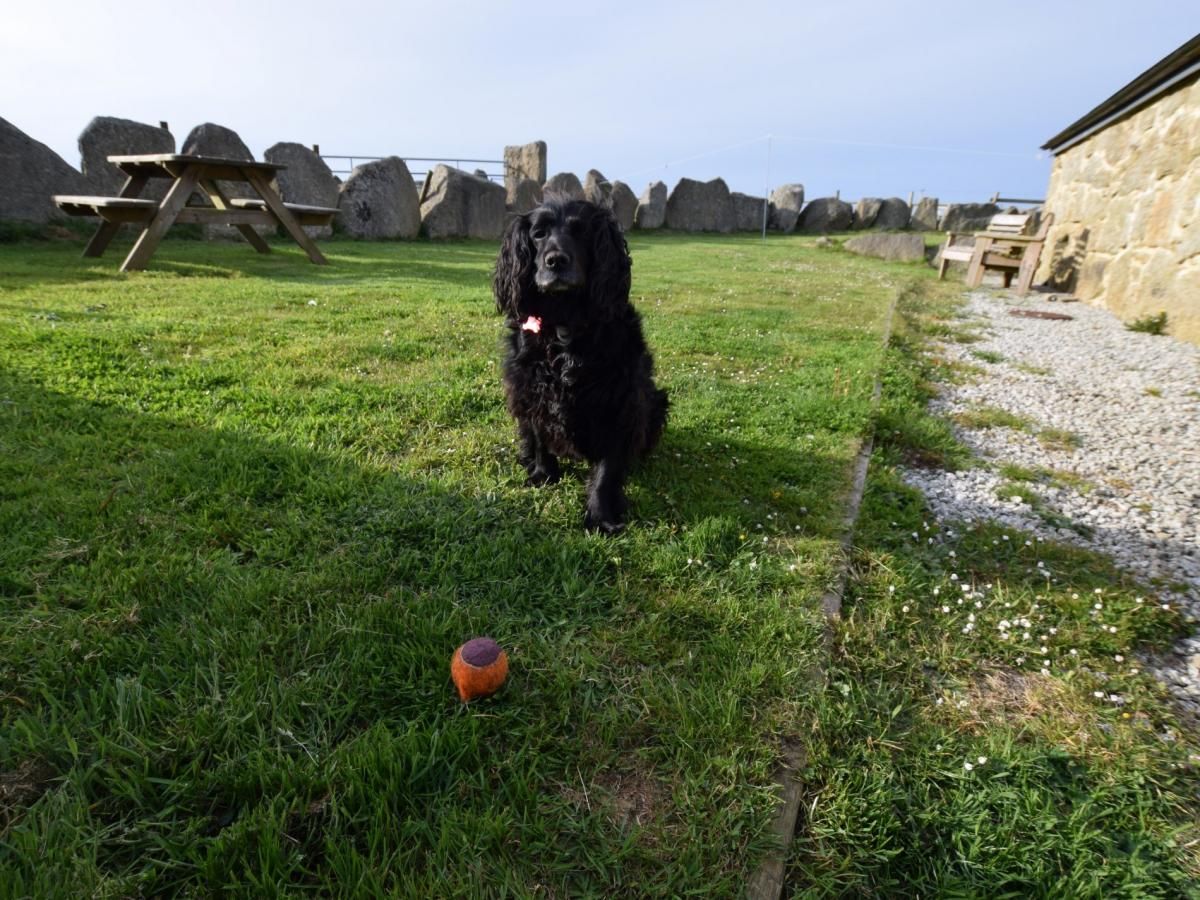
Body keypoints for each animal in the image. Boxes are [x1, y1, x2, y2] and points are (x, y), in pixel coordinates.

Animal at [493, 196, 668, 533]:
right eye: (538, 234)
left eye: (581, 232)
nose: (556, 261)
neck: (565, 324)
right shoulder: (530, 389)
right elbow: (540, 437)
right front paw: (543, 475)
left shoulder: (620, 402)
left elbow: (607, 469)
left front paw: (601, 516)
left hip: (656, 400)